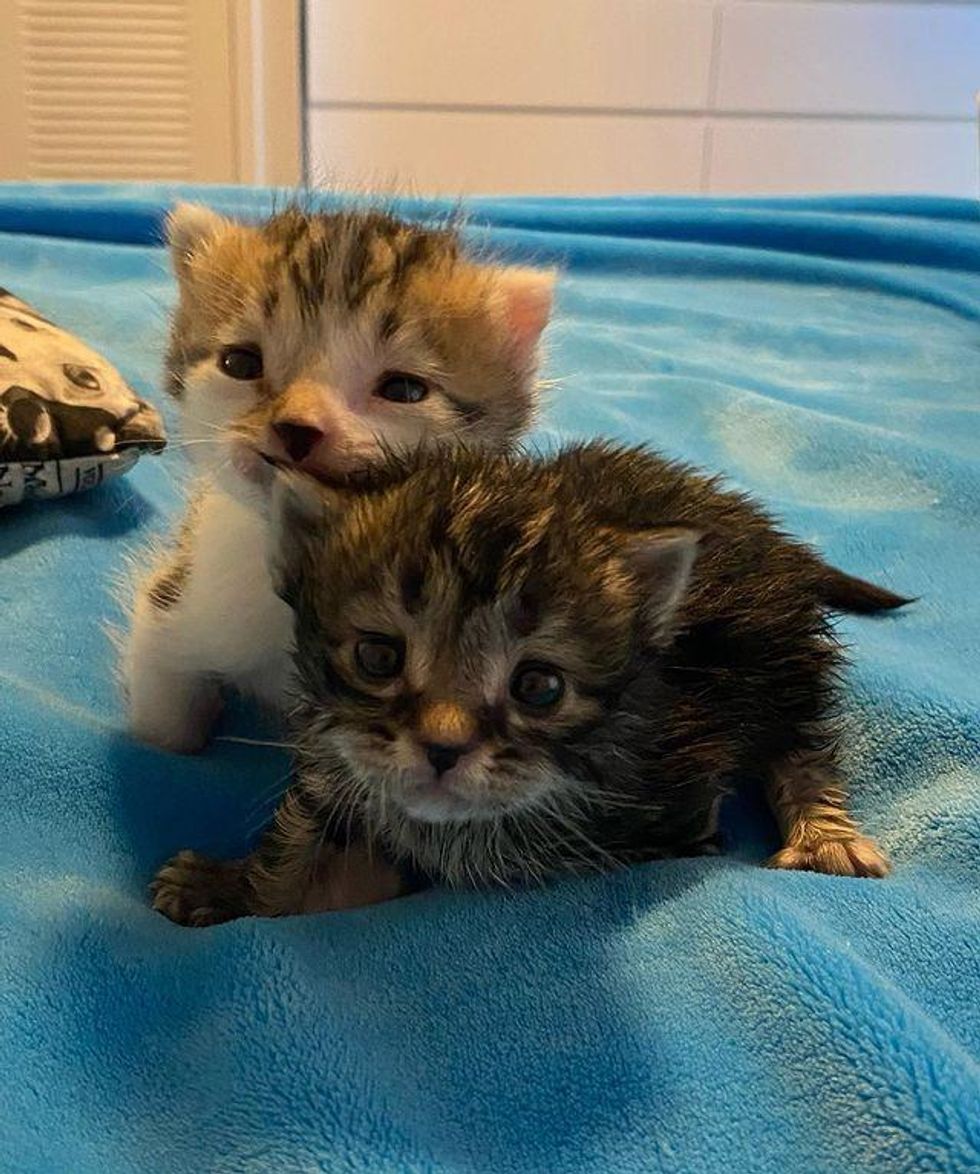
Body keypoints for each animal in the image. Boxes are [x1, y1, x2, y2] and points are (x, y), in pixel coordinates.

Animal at [121, 201, 551, 751]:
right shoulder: (180, 597)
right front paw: (168, 744)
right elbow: (164, 712)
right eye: (240, 362)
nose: (297, 427)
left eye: (404, 389)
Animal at [149, 441, 906, 925]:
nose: (443, 748)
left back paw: (825, 835)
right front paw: (234, 889)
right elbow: (308, 834)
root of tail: (773, 539)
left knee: (799, 737)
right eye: (377, 658)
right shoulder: (335, 752)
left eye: (538, 687)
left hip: (774, 651)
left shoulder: (677, 808)